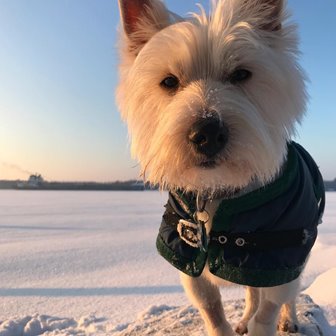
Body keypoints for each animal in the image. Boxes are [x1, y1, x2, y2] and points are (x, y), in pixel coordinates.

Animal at [116, 1, 326, 334]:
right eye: (169, 81)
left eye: (241, 74)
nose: (207, 134)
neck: (219, 191)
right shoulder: (190, 261)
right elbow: (212, 309)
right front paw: (231, 323)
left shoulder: (280, 259)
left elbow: (269, 308)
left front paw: (267, 322)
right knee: (252, 292)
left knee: (288, 294)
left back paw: (289, 320)